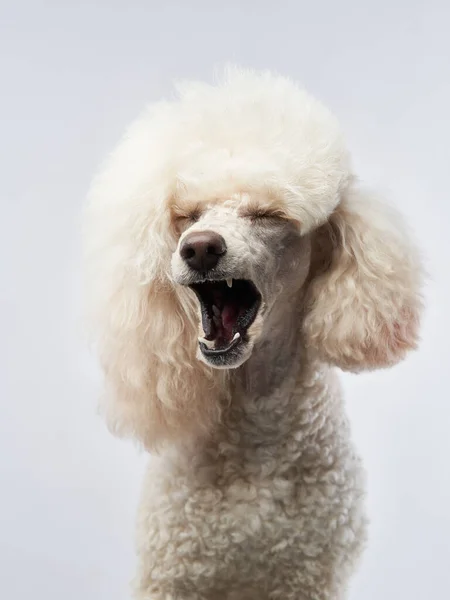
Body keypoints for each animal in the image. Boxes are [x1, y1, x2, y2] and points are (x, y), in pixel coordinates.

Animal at [83, 67, 422, 600]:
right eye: (187, 215)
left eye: (268, 215)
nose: (199, 248)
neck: (255, 428)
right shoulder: (172, 572)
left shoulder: (306, 577)